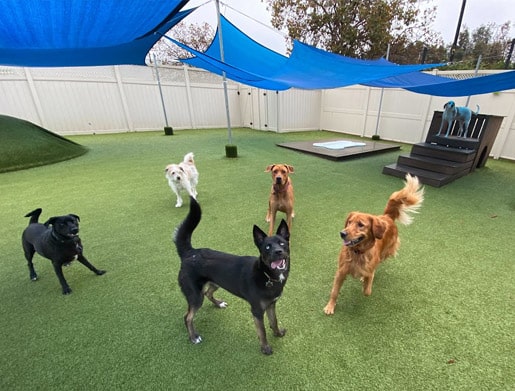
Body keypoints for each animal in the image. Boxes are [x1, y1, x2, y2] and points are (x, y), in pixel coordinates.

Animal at [175, 198, 290, 356]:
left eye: (282, 243)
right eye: (267, 247)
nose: (278, 252)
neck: (266, 275)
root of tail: (189, 252)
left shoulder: (271, 304)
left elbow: (274, 322)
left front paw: (278, 334)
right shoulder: (257, 311)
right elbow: (262, 332)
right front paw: (265, 348)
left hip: (215, 282)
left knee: (208, 293)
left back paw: (218, 304)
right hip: (195, 296)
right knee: (187, 317)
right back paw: (193, 337)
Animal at [324, 175, 426, 316]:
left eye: (360, 224)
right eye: (349, 222)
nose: (342, 233)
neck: (358, 253)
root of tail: (387, 217)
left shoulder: (369, 270)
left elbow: (367, 289)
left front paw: (365, 282)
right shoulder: (341, 271)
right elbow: (334, 291)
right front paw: (330, 306)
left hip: (385, 253)